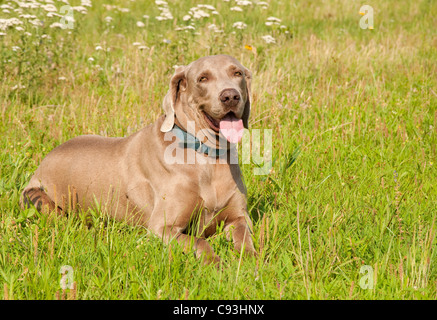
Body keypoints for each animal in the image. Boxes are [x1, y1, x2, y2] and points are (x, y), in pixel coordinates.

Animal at [22, 55, 255, 264]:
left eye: (237, 73)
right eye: (202, 78)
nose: (230, 96)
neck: (208, 156)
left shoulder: (239, 217)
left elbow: (245, 237)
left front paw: (250, 262)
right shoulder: (162, 228)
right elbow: (199, 241)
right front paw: (215, 264)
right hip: (38, 199)